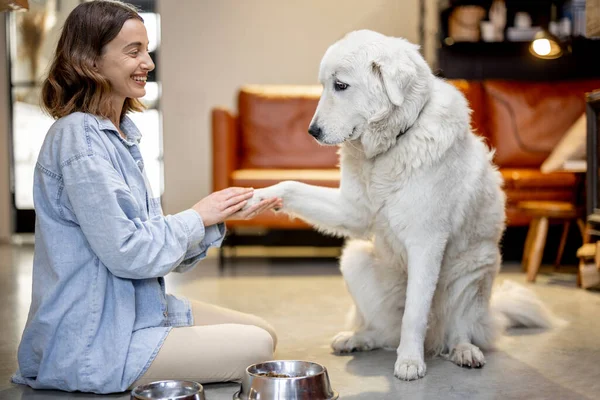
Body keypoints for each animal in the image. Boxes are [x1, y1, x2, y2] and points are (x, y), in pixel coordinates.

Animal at [245, 29, 564, 380]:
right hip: (354, 259)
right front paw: (258, 197)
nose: (311, 131)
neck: (393, 144)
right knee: (383, 331)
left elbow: (414, 313)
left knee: (457, 329)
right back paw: (357, 338)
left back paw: (464, 351)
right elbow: (292, 186)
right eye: (325, 85)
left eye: (340, 85)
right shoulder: (352, 211)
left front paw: (410, 362)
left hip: (473, 273)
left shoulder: (426, 242)